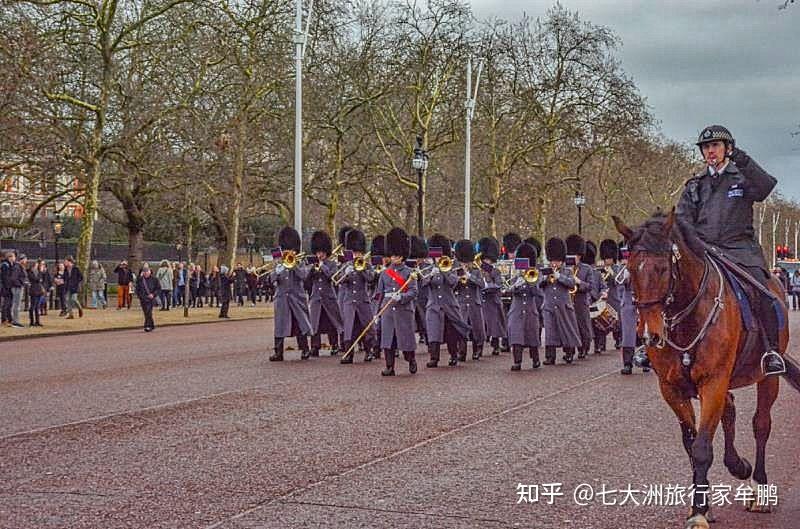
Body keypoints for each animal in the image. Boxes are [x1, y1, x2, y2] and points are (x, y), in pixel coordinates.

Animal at [616, 208, 796, 524]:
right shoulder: (672, 388)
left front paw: (699, 512)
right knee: (730, 409)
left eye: (662, 269)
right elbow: (692, 442)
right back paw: (738, 465)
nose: (650, 335)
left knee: (761, 424)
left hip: (767, 376)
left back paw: (760, 488)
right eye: (631, 272)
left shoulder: (713, 381)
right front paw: (702, 504)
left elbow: (701, 447)